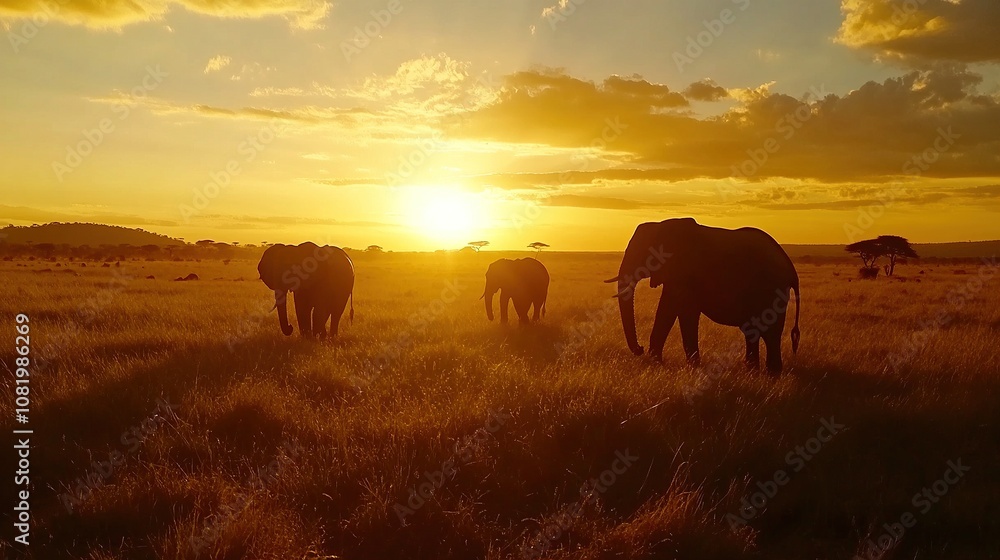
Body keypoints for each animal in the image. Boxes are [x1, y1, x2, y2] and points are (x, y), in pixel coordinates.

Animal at [606, 218, 800, 373]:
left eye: (642, 252)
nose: (640, 348)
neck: (662, 225)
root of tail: (791, 269)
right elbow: (667, 310)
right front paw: (657, 364)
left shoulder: (685, 273)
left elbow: (683, 312)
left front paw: (691, 368)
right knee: (752, 331)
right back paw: (753, 372)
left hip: (772, 291)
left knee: (770, 334)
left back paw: (770, 375)